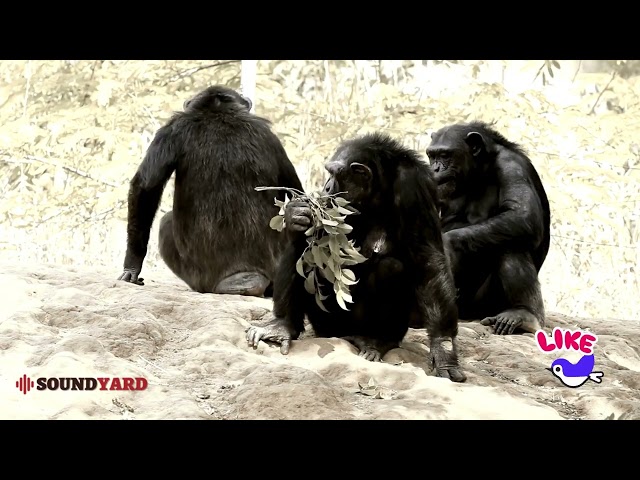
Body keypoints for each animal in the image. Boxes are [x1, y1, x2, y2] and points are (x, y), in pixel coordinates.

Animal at [117, 85, 302, 298]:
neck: (217, 109)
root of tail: (247, 276)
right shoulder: (272, 138)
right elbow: (295, 188)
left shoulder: (169, 131)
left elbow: (145, 188)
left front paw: (131, 266)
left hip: (199, 278)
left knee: (165, 223)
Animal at [245, 130, 464, 382]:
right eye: (328, 172)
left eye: (335, 174)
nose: (327, 186)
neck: (379, 188)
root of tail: (345, 335)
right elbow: (313, 234)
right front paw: (296, 213)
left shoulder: (415, 188)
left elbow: (428, 259)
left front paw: (443, 348)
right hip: (326, 323)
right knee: (302, 250)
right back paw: (282, 325)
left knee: (392, 268)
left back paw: (378, 341)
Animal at [424, 122, 552, 336]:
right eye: (432, 155)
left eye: (445, 155)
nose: (435, 168)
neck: (478, 172)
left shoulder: (512, 166)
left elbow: (523, 214)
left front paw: (448, 245)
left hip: (484, 304)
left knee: (511, 244)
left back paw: (523, 314)